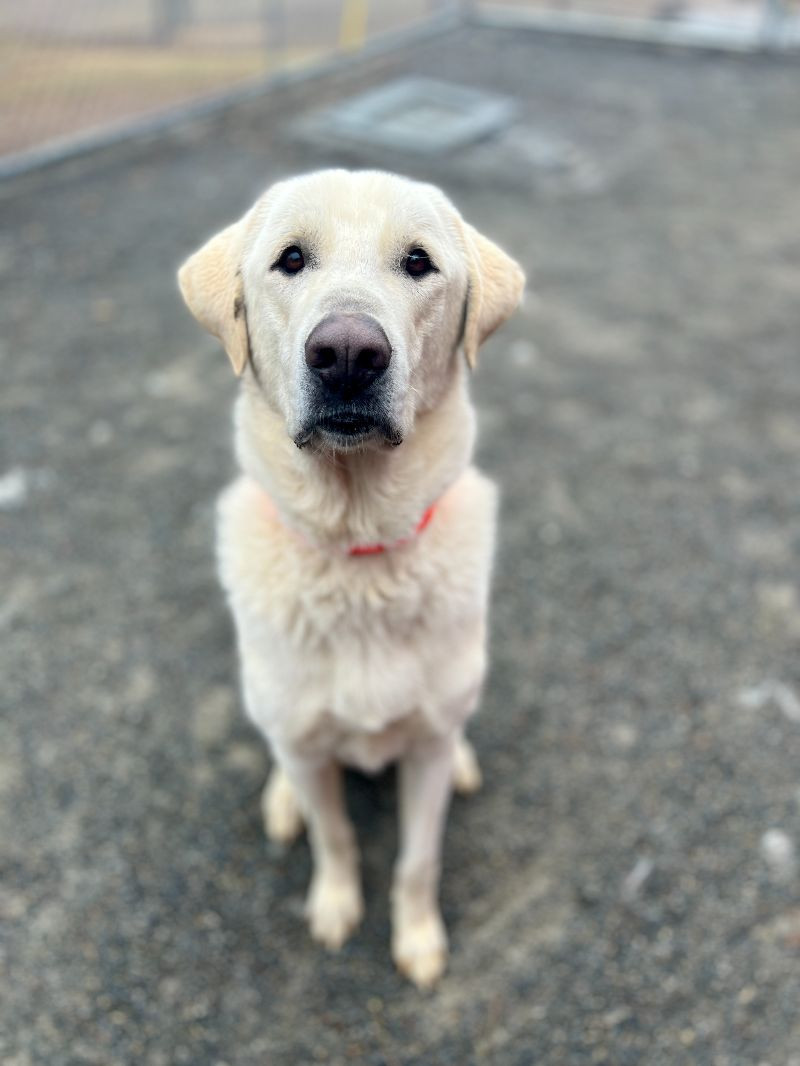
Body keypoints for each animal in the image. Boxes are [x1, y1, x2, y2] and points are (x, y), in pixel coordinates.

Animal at [178, 170, 526, 984]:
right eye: (291, 259)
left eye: (419, 262)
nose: (345, 353)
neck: (359, 556)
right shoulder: (309, 752)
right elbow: (332, 835)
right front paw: (335, 907)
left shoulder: (423, 755)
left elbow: (418, 859)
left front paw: (418, 940)